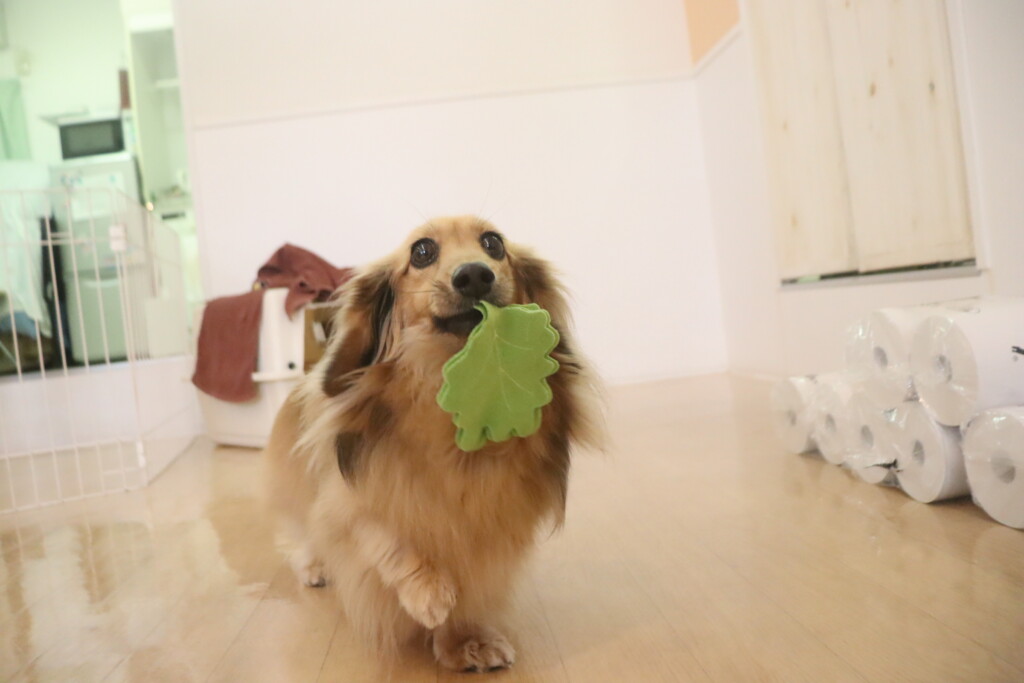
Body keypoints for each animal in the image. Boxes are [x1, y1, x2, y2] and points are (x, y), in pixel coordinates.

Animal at [264, 215, 602, 672]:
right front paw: (426, 594)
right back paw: (315, 567)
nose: (474, 274)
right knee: (307, 532)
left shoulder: (491, 525)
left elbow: (470, 583)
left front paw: (465, 639)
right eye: (422, 252)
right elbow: (384, 533)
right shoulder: (350, 499)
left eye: (493, 244)